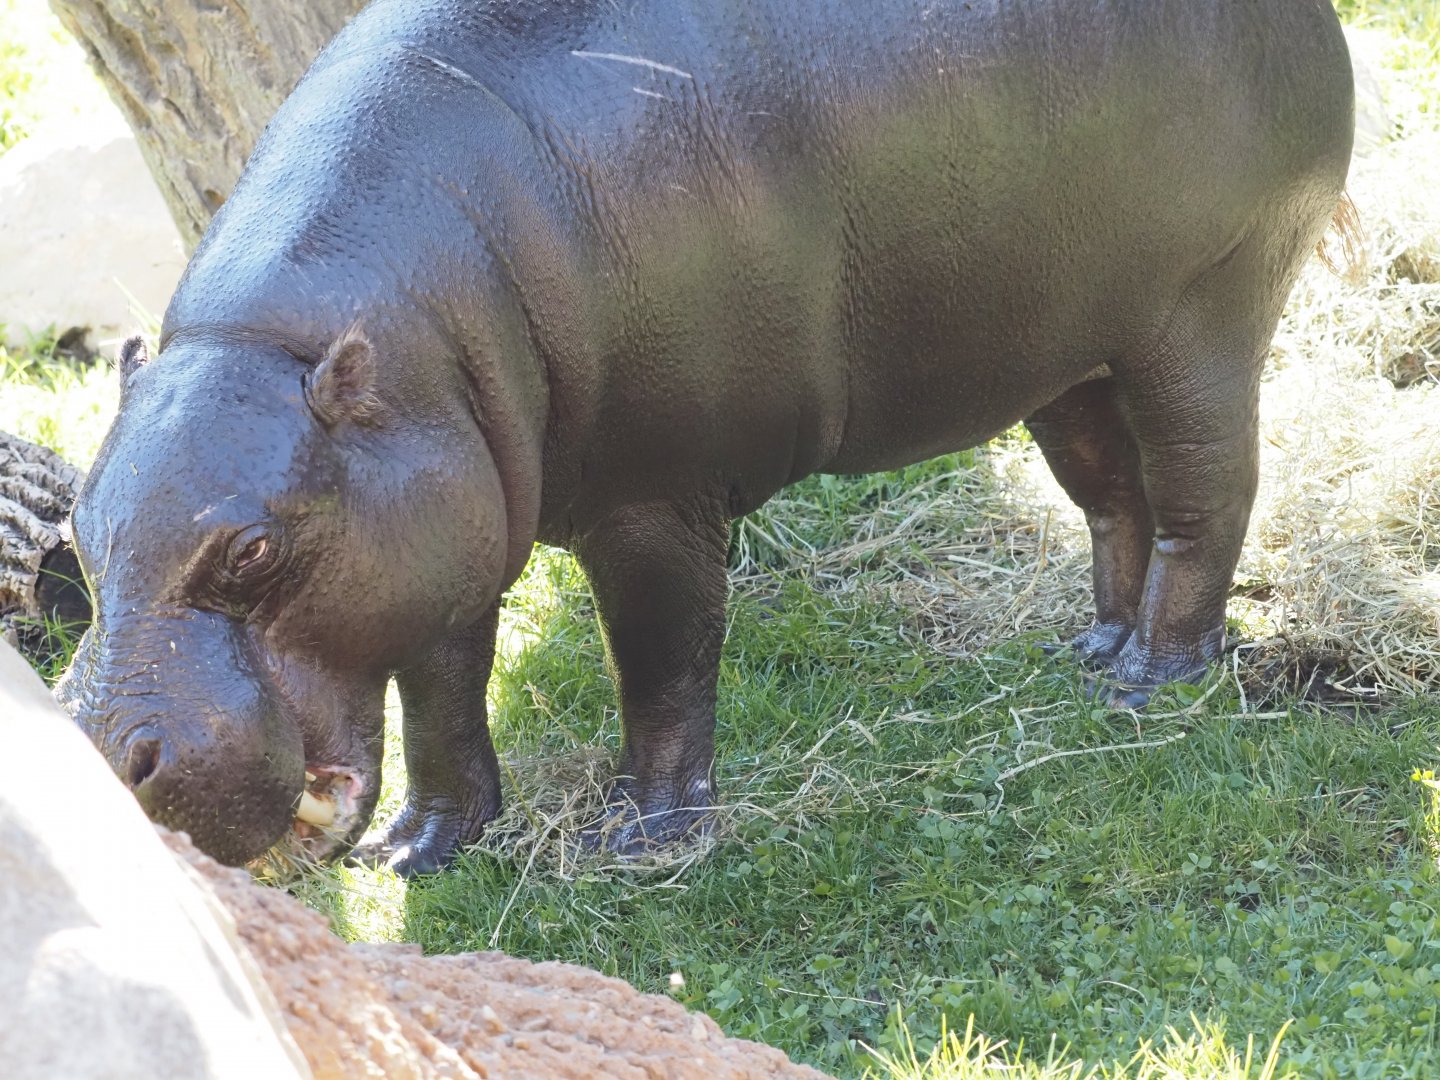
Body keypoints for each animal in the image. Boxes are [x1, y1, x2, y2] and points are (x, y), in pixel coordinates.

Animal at [58, 0, 1354, 873]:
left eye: (252, 550)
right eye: (76, 539)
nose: (107, 764)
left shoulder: (652, 497)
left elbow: (663, 659)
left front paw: (646, 840)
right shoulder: (434, 514)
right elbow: (440, 691)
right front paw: (426, 847)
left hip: (1203, 310)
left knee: (1205, 490)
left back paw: (1153, 680)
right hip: (1062, 348)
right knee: (1110, 495)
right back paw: (1091, 651)